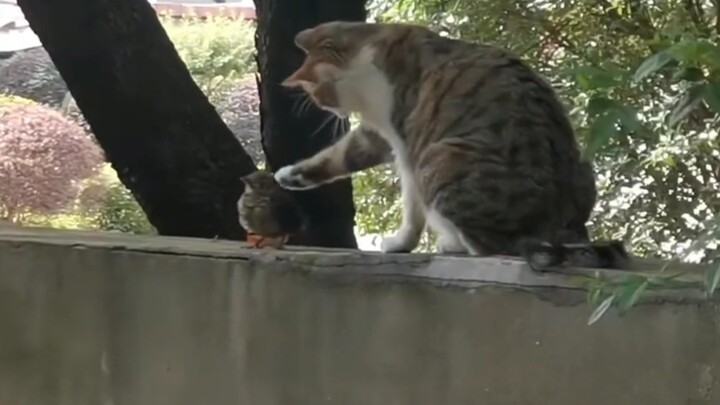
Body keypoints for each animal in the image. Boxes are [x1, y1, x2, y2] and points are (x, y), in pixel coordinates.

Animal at [272, 21, 628, 268]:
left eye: (320, 94)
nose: (331, 111)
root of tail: (564, 226)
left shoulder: (406, 141)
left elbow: (411, 206)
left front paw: (401, 242)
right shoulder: (379, 132)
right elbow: (340, 156)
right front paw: (292, 176)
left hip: (439, 157)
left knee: (495, 247)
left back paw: (455, 244)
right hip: (583, 159)